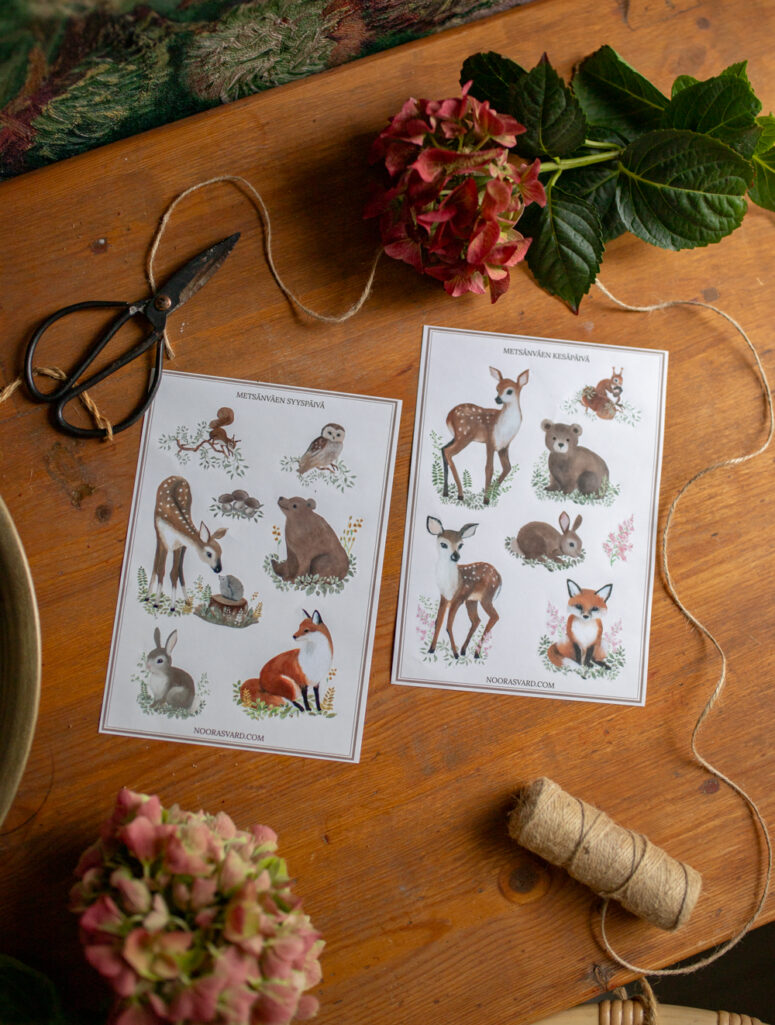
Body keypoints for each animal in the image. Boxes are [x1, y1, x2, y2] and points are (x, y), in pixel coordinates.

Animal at [150, 475, 227, 607]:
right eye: (209, 553)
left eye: (221, 552)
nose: (218, 569)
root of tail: (176, 477)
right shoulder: (164, 541)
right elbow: (161, 570)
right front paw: (156, 602)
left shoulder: (179, 545)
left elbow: (174, 573)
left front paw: (172, 606)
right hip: (157, 532)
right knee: (156, 560)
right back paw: (148, 595)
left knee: (179, 569)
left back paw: (186, 600)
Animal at [426, 516, 501, 659]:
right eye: (443, 544)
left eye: (461, 545)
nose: (455, 556)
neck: (450, 582)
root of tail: (499, 578)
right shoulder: (444, 597)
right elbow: (438, 622)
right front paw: (431, 649)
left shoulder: (458, 597)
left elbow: (448, 625)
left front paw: (454, 654)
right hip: (472, 600)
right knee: (477, 620)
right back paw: (464, 650)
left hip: (486, 597)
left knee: (495, 616)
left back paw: (475, 653)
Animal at [442, 366, 529, 504]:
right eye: (497, 388)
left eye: (509, 391)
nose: (497, 399)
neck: (504, 429)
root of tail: (448, 417)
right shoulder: (490, 441)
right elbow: (489, 468)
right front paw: (486, 500)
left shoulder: (504, 446)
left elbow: (507, 467)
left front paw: (492, 492)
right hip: (464, 435)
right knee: (448, 452)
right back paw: (460, 495)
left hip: (457, 436)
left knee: (443, 448)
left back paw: (446, 492)